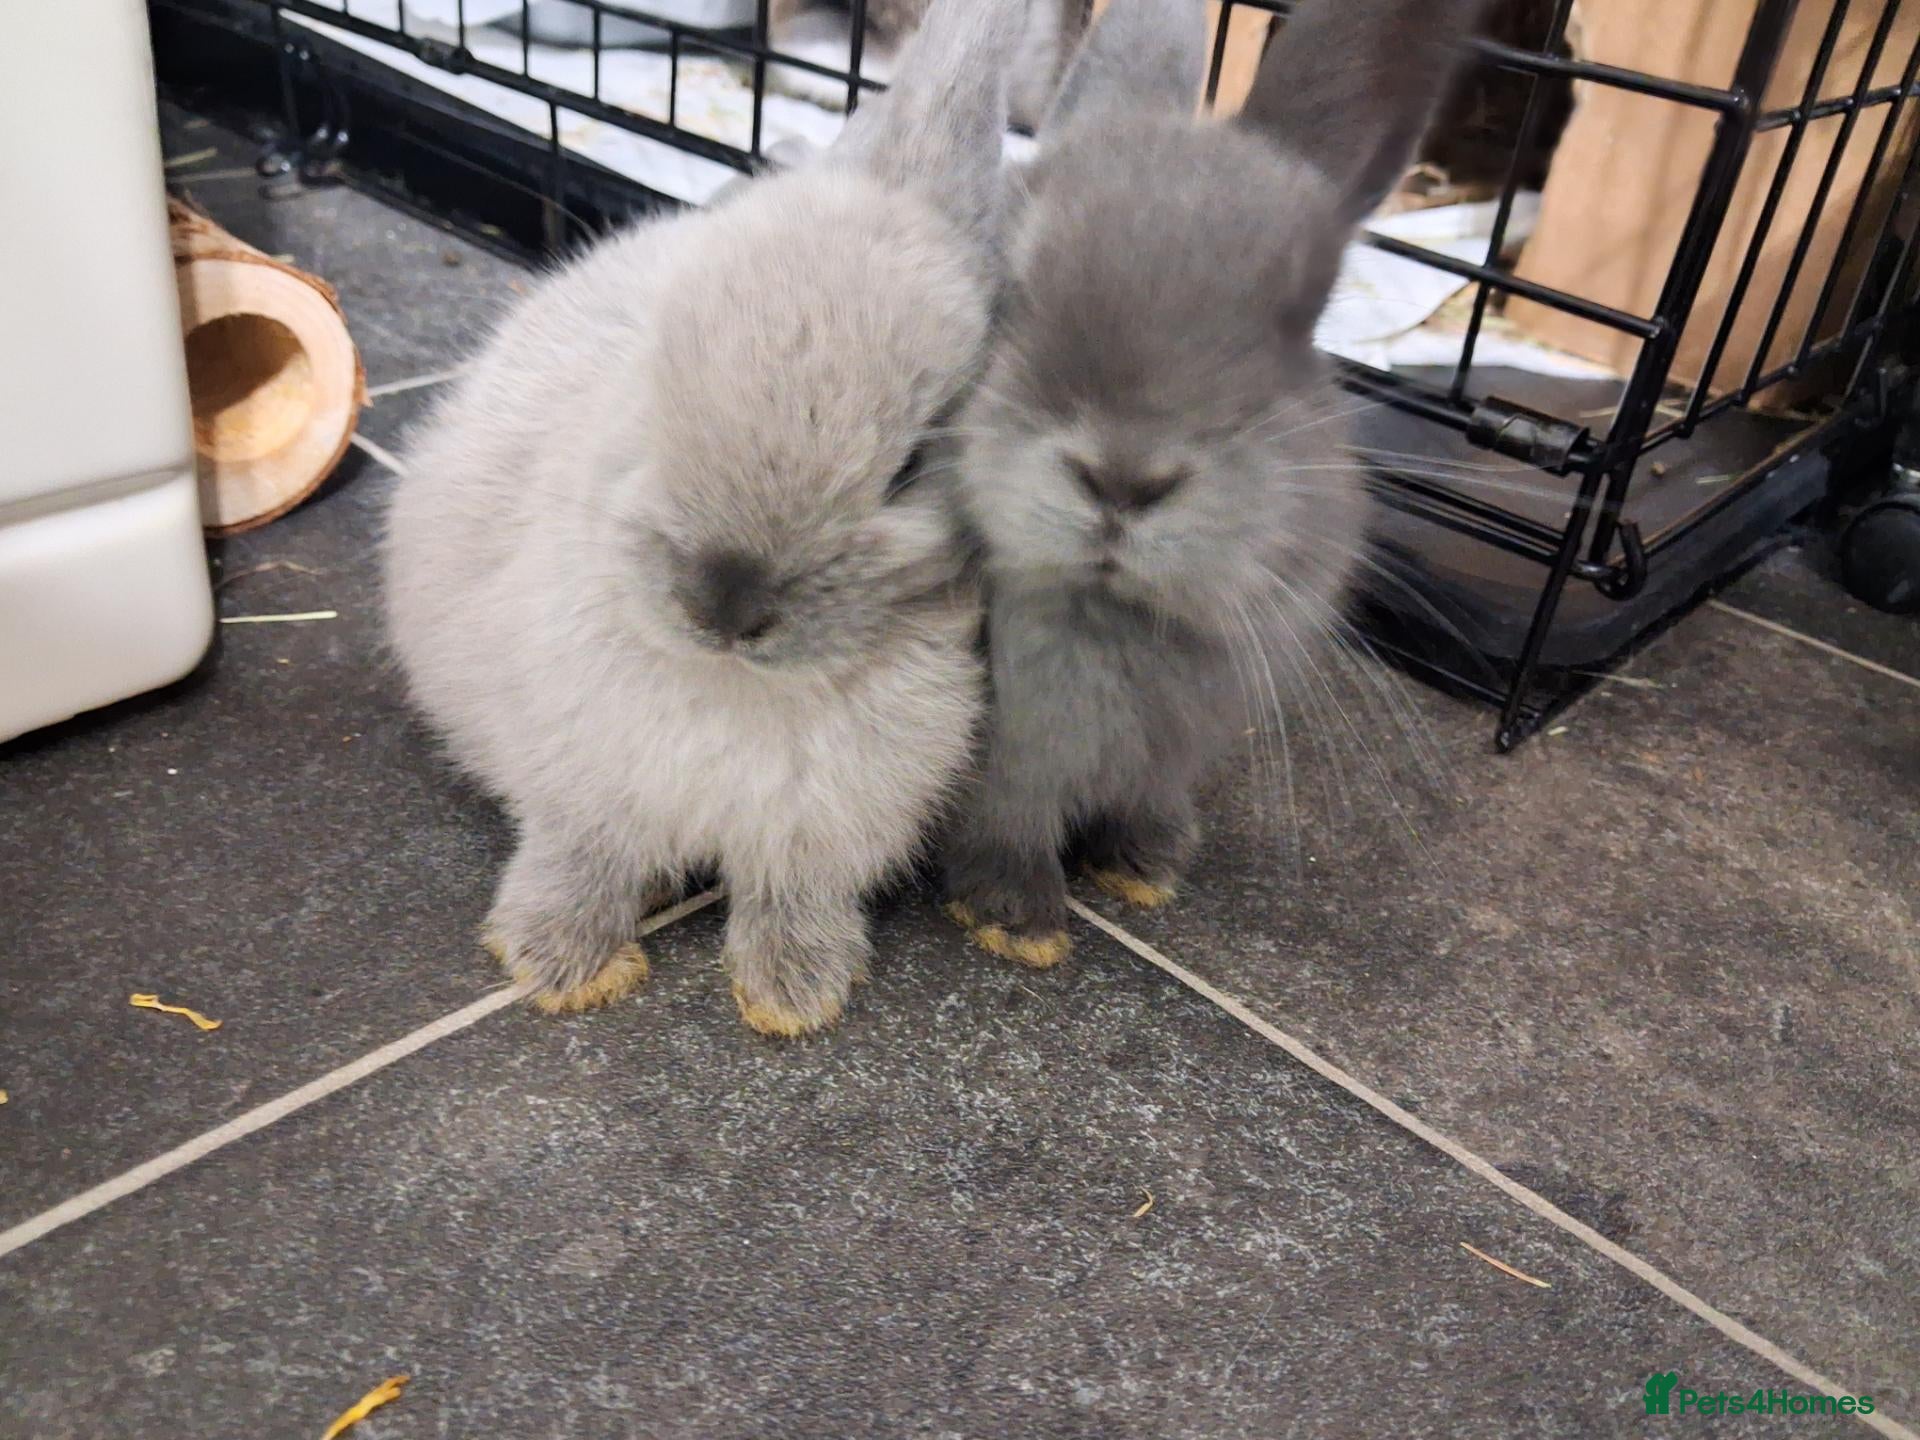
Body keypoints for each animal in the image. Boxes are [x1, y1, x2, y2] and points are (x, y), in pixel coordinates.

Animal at [384, 0, 1032, 1036]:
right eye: (658, 377)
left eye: (909, 469)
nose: (724, 601)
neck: (736, 686)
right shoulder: (576, 783)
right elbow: (577, 857)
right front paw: (556, 961)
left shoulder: (826, 827)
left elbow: (794, 895)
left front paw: (793, 992)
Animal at [939, 0, 1492, 967]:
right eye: (1014, 279)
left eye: (1304, 318)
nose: (1123, 478)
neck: (1111, 614)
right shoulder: (1002, 778)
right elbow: (1008, 833)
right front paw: (1017, 922)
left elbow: (1141, 807)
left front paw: (1147, 866)